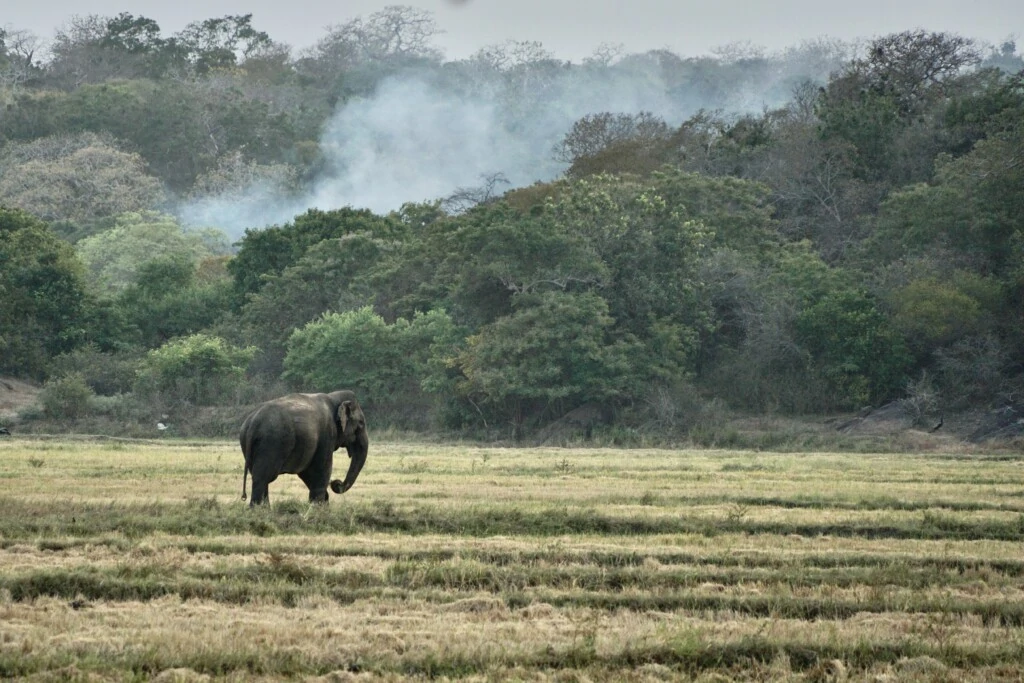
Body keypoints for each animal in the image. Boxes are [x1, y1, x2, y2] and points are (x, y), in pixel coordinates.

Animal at [239, 389, 368, 507]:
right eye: (361, 423)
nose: (336, 482)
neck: (333, 397)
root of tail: (253, 423)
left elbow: (306, 472)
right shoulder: (327, 435)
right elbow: (322, 468)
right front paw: (318, 508)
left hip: (248, 443)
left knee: (259, 476)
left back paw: (264, 510)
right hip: (271, 442)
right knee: (262, 478)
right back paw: (258, 510)